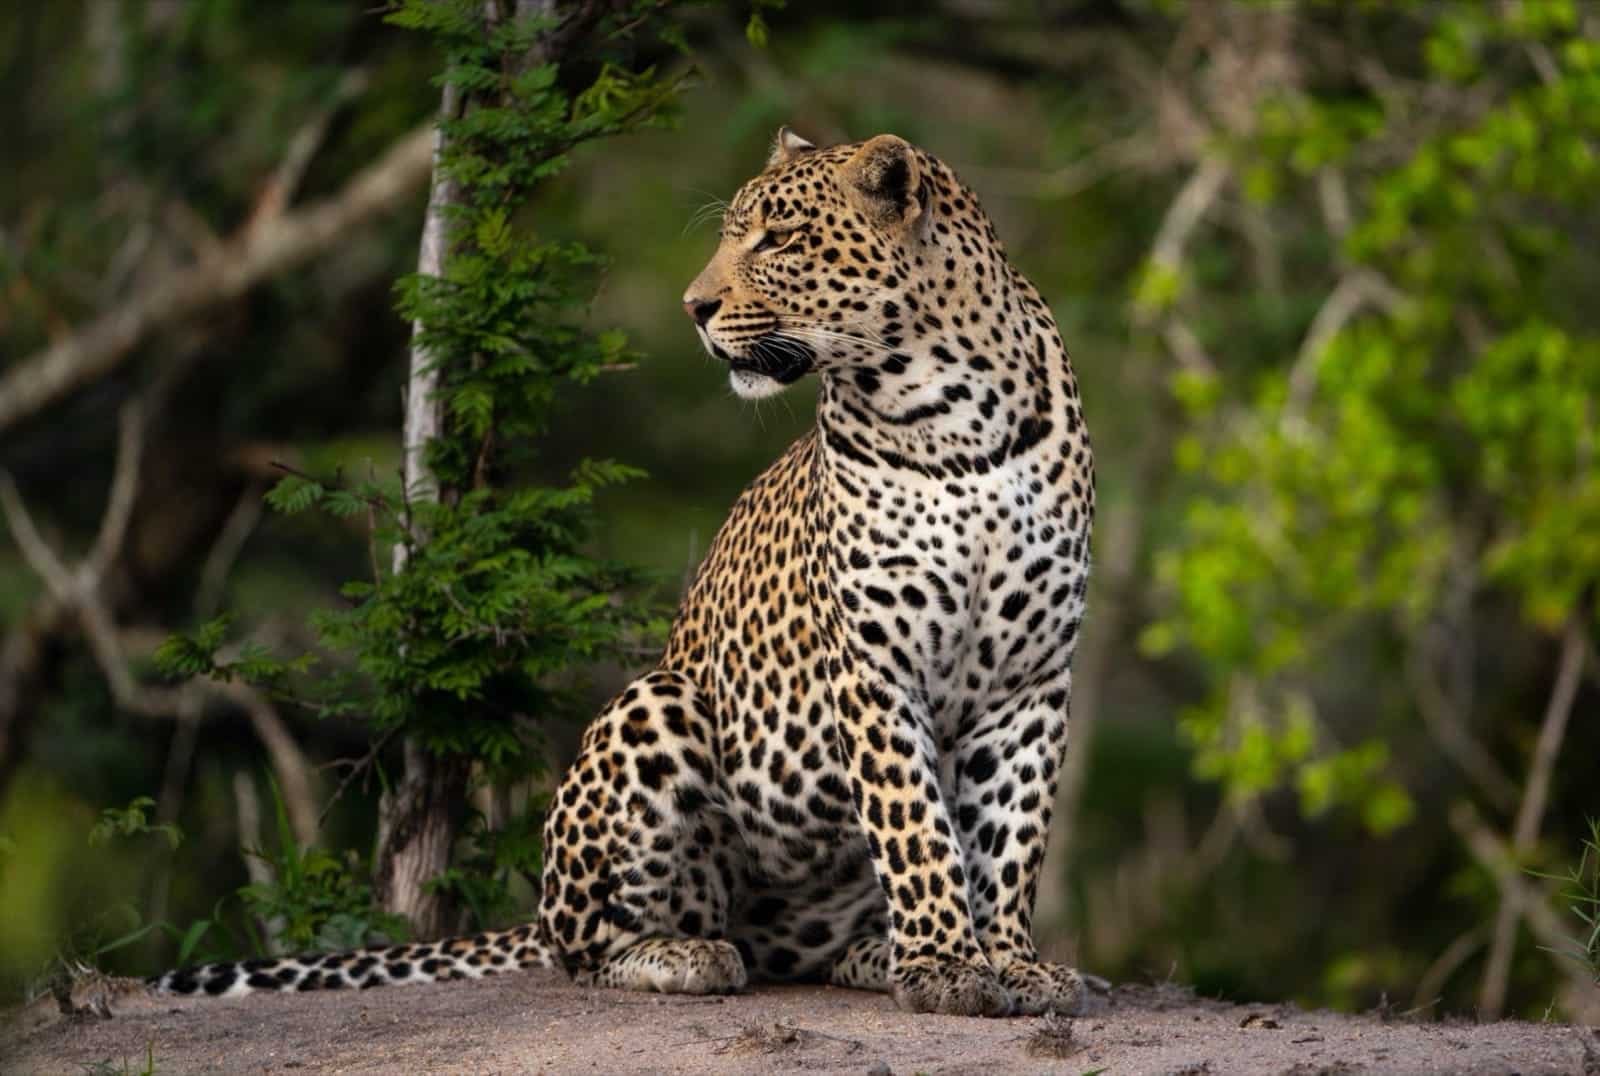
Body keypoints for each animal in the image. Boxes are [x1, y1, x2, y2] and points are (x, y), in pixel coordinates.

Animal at [150, 128, 1094, 1018]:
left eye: (780, 238)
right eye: (731, 235)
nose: (695, 307)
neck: (952, 414)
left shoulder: (1032, 679)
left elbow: (1009, 837)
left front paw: (1009, 962)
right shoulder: (874, 667)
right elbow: (916, 828)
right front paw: (945, 965)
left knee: (805, 953)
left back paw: (871, 954)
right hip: (658, 707)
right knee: (591, 947)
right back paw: (684, 955)